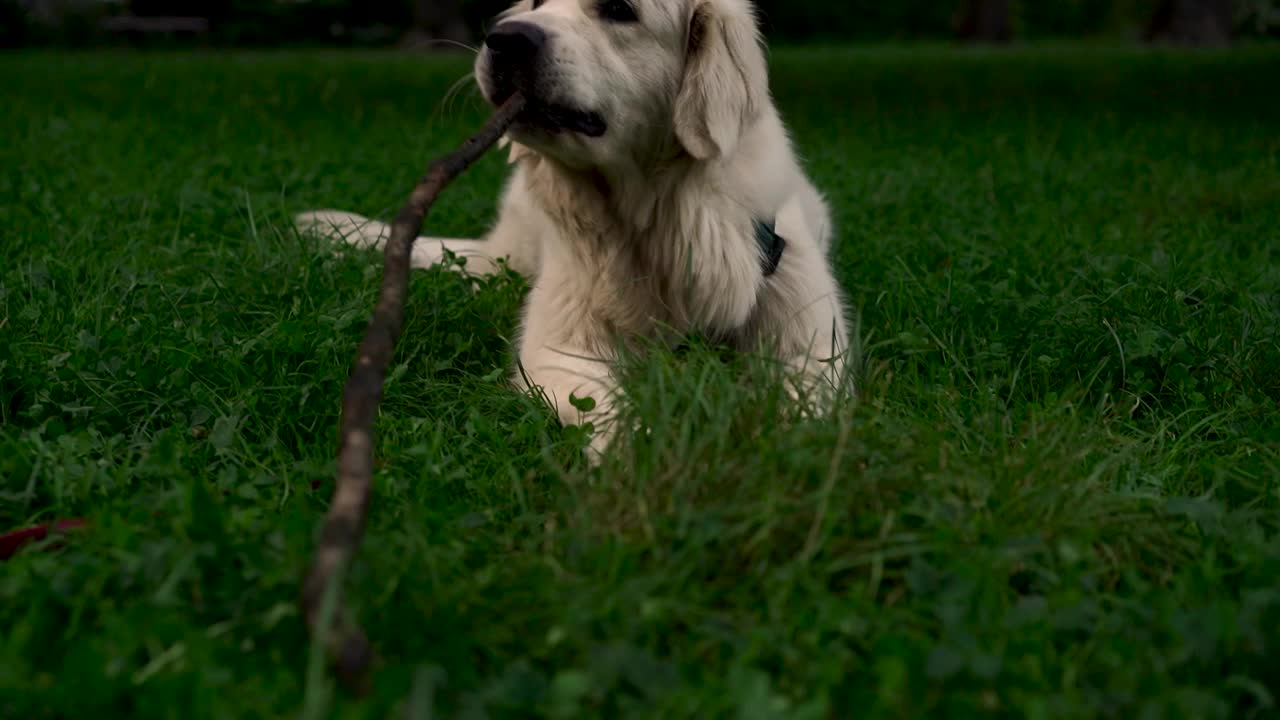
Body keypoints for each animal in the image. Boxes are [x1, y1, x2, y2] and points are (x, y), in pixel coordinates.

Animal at [296, 0, 849, 456]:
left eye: (619, 8)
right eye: (538, 2)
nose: (503, 39)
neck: (654, 215)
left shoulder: (811, 346)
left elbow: (803, 421)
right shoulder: (559, 349)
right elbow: (616, 416)